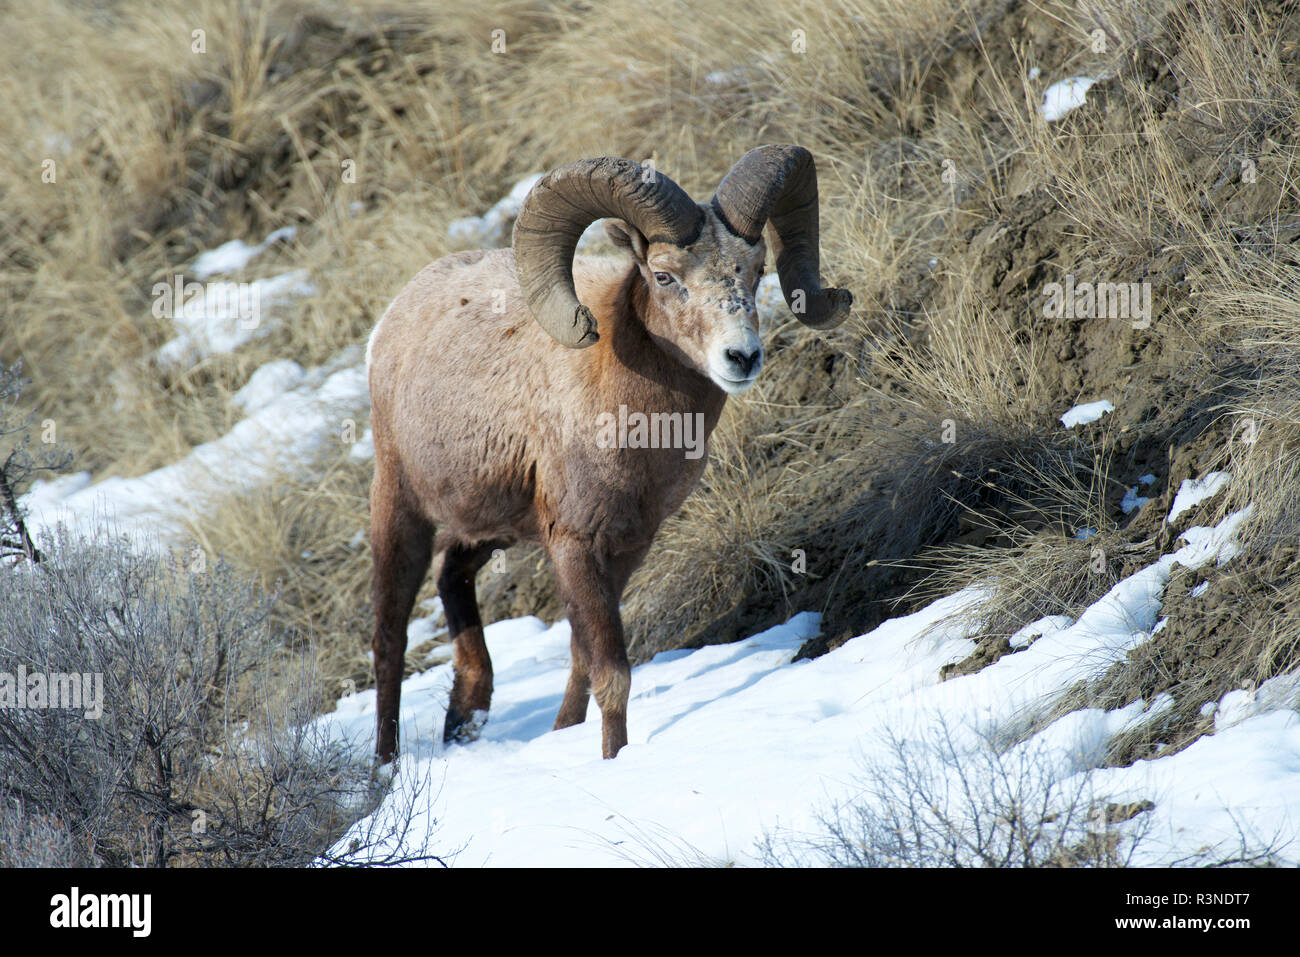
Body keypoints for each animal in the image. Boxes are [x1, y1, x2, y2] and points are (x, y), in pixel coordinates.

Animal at [366, 145, 852, 761]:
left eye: (757, 269)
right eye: (665, 276)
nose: (742, 357)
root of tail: (393, 321)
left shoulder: (626, 547)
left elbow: (581, 659)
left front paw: (563, 737)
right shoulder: (576, 544)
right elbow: (611, 674)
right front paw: (612, 758)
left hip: (488, 526)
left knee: (452, 574)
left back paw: (466, 718)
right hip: (399, 507)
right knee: (389, 637)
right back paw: (386, 767)